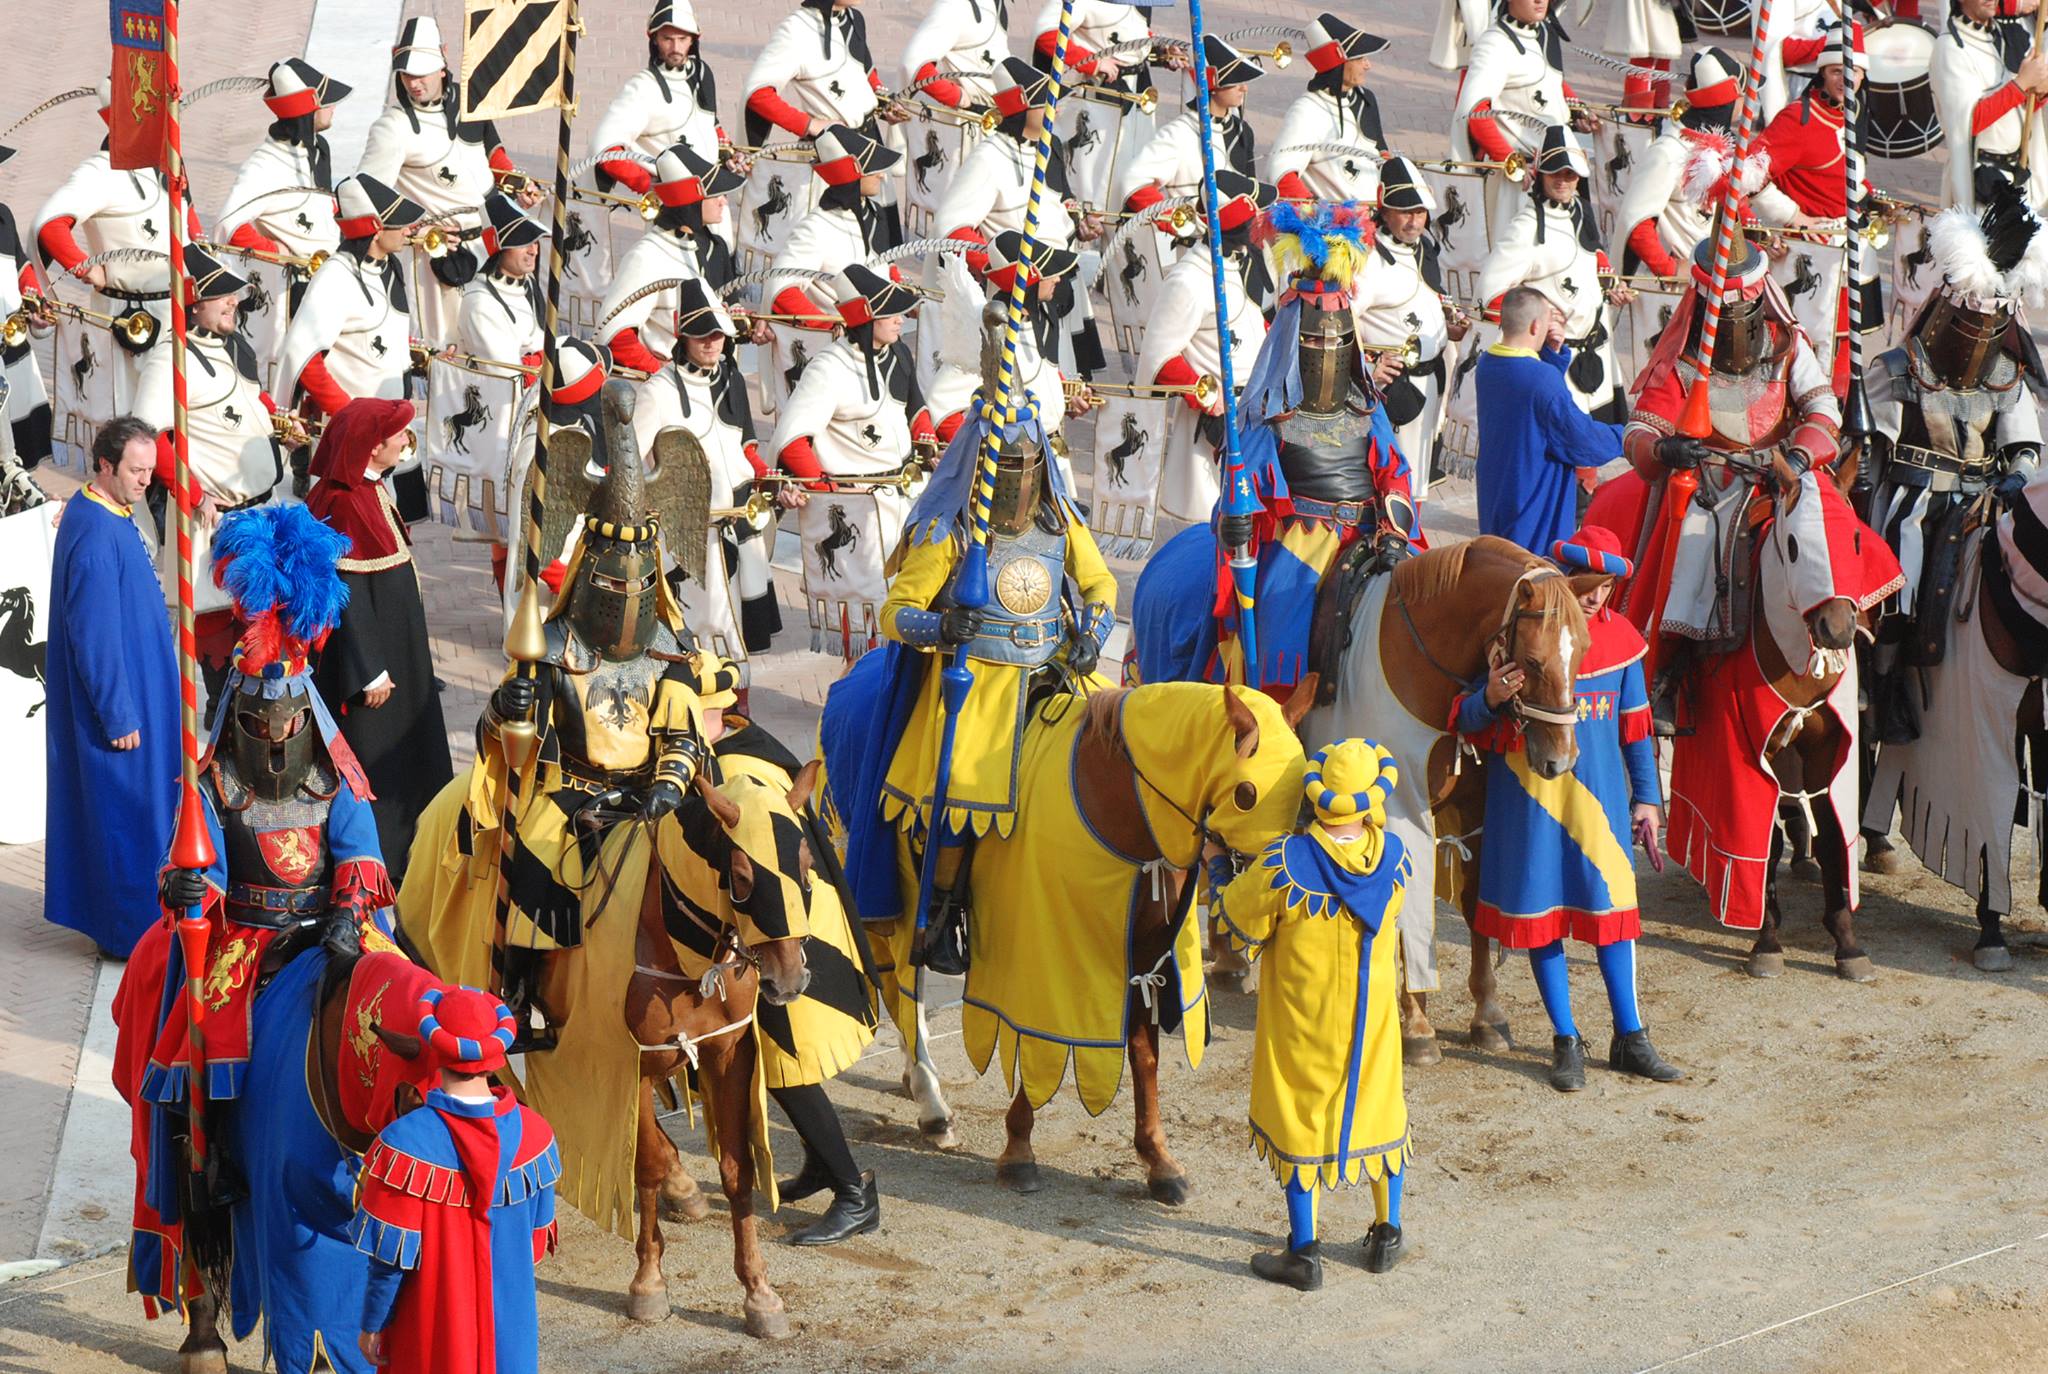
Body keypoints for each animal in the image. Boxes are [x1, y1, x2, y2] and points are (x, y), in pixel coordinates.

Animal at [1302, 536, 1589, 1064]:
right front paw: (1416, 1026)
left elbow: (1474, 903)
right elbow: (1406, 908)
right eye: (1532, 661)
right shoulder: (1400, 814)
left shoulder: (1475, 810)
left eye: (1582, 651)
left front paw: (1488, 1015)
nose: (1560, 761)